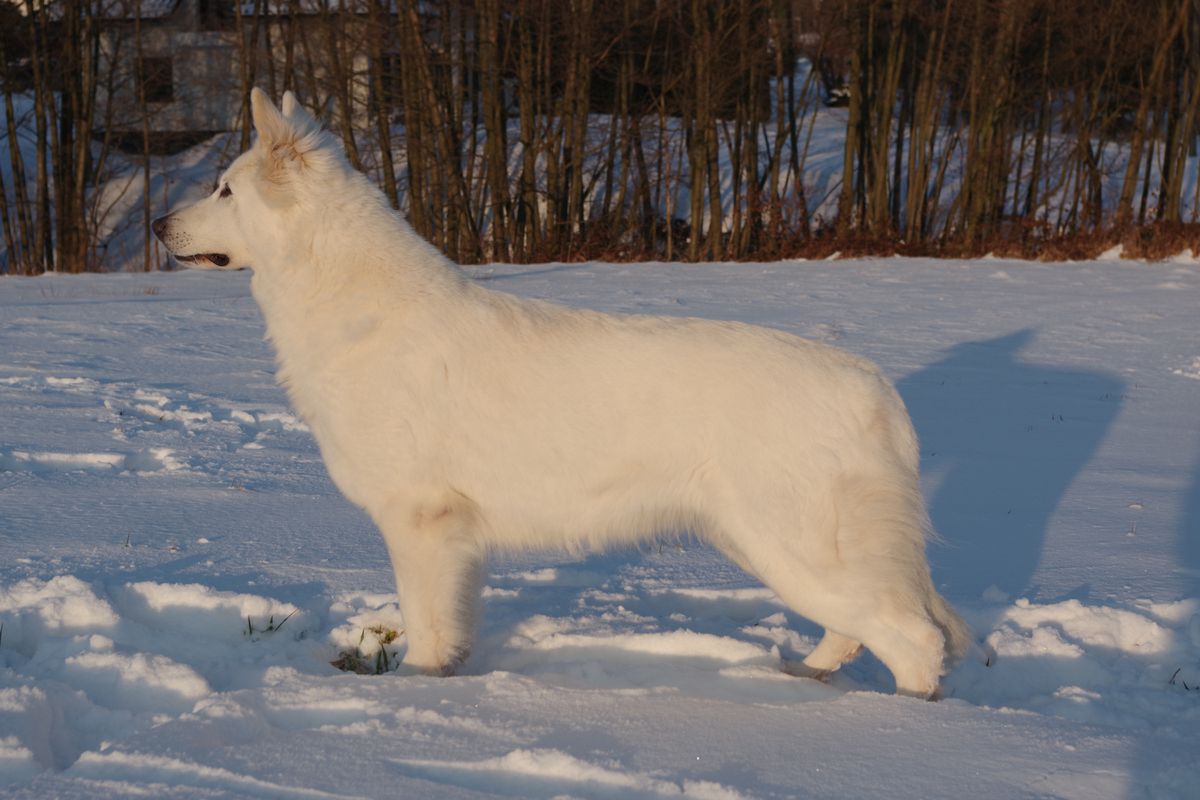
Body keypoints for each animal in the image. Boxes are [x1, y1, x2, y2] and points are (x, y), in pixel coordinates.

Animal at [154, 87, 969, 695]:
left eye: (225, 189)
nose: (159, 224)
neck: (347, 297)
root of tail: (876, 390)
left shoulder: (419, 522)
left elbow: (424, 627)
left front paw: (413, 695)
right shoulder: (454, 541)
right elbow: (450, 628)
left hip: (791, 546)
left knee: (914, 639)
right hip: (768, 543)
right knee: (859, 628)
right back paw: (805, 677)